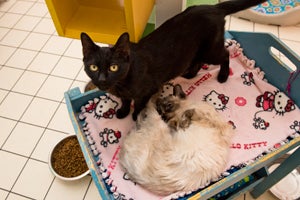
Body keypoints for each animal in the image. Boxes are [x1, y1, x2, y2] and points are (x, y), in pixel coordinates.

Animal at [81, 0, 266, 119]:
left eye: (113, 67)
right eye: (93, 68)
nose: (102, 79)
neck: (121, 84)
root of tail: (213, 7)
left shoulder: (149, 90)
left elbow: (139, 105)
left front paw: (135, 117)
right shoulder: (125, 94)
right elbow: (126, 101)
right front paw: (123, 112)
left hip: (210, 51)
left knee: (226, 53)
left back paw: (223, 75)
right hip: (195, 50)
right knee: (198, 61)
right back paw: (190, 75)